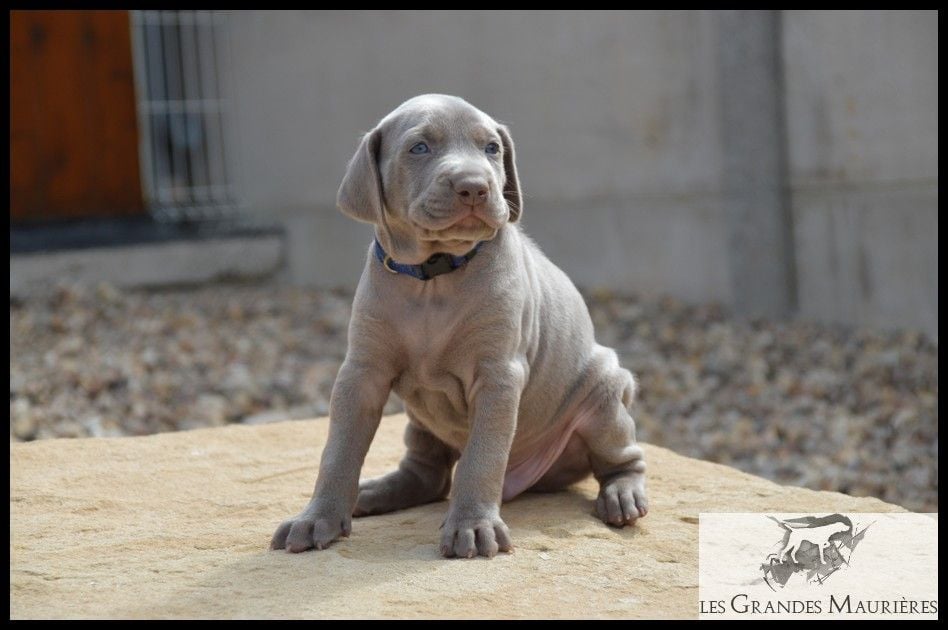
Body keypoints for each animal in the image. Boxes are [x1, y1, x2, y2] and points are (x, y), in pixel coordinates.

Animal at [270, 94, 648, 559]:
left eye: (492, 149)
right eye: (419, 148)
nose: (474, 186)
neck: (433, 277)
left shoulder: (497, 375)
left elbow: (482, 457)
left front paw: (472, 526)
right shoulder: (361, 372)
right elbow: (338, 450)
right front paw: (316, 518)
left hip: (604, 394)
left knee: (622, 456)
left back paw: (622, 494)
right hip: (420, 420)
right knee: (427, 474)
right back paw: (375, 493)